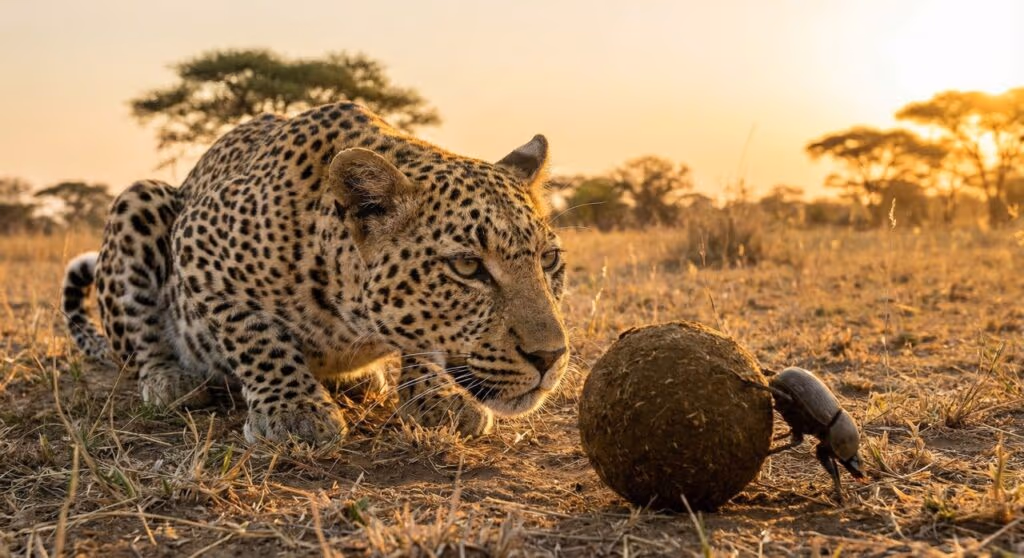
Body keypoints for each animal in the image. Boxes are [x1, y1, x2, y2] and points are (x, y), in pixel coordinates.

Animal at [61, 101, 569, 444]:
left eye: (548, 260)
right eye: (466, 266)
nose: (550, 357)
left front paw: (440, 397)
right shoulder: (198, 245)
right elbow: (254, 334)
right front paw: (295, 411)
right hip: (140, 199)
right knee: (138, 344)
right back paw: (170, 380)